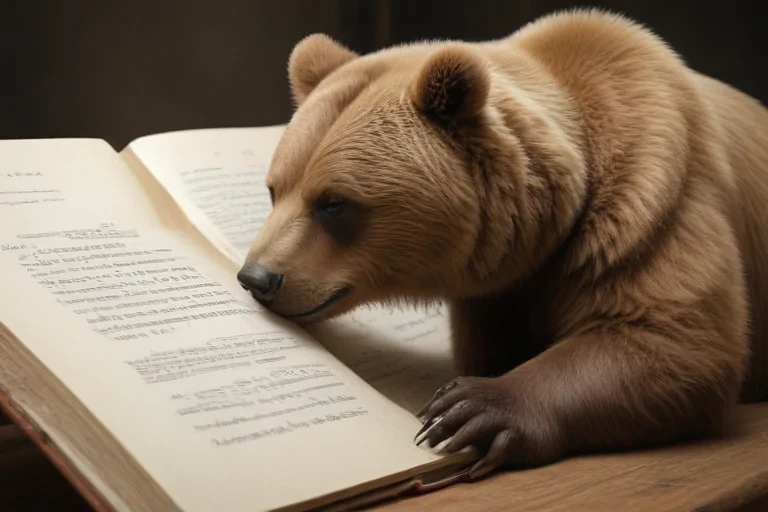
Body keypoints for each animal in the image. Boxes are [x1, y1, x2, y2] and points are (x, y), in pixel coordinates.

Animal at [237, 8, 768, 480]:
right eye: (275, 189)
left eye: (334, 203)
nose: (256, 276)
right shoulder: (497, 294)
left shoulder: (655, 198)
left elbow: (676, 340)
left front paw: (466, 410)